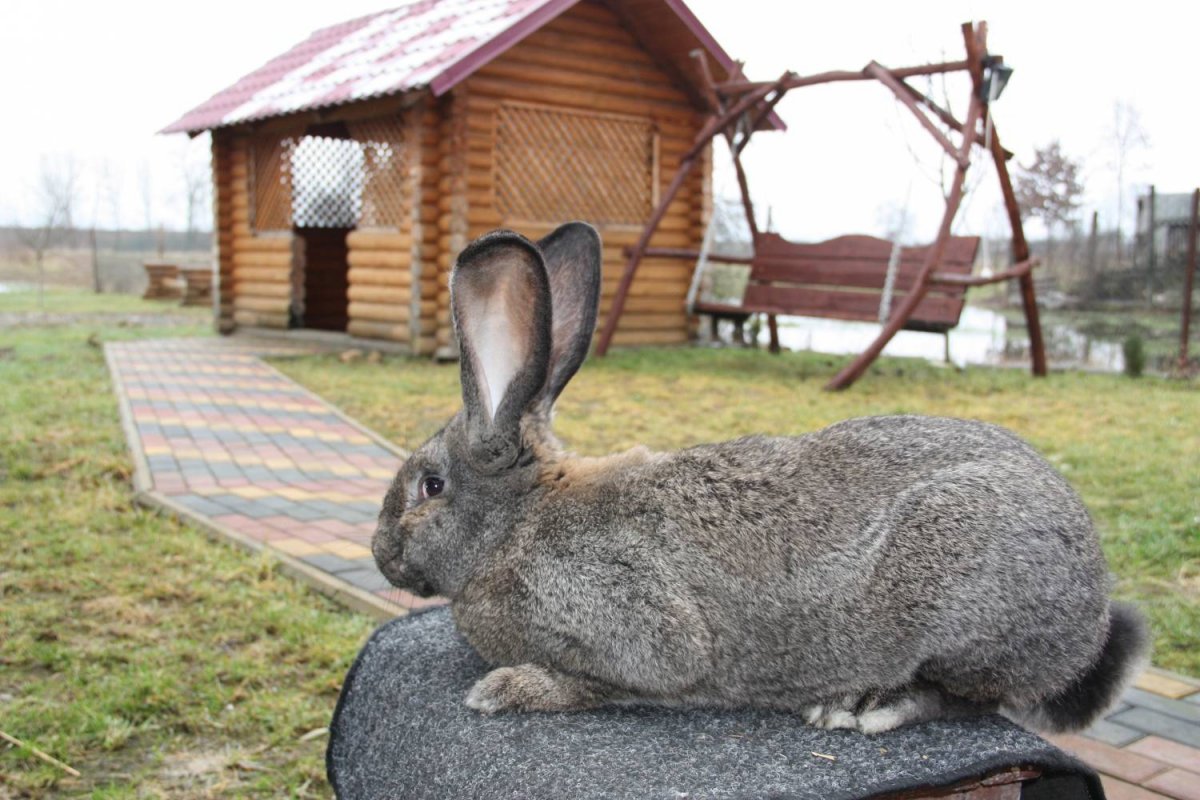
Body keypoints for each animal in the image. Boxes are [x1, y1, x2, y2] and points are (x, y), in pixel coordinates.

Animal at [372, 221, 1149, 735]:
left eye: (430, 486)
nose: (380, 554)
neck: (519, 521)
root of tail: (1094, 609)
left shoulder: (642, 629)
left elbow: (615, 676)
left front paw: (509, 688)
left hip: (965, 609)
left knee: (972, 697)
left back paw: (865, 707)